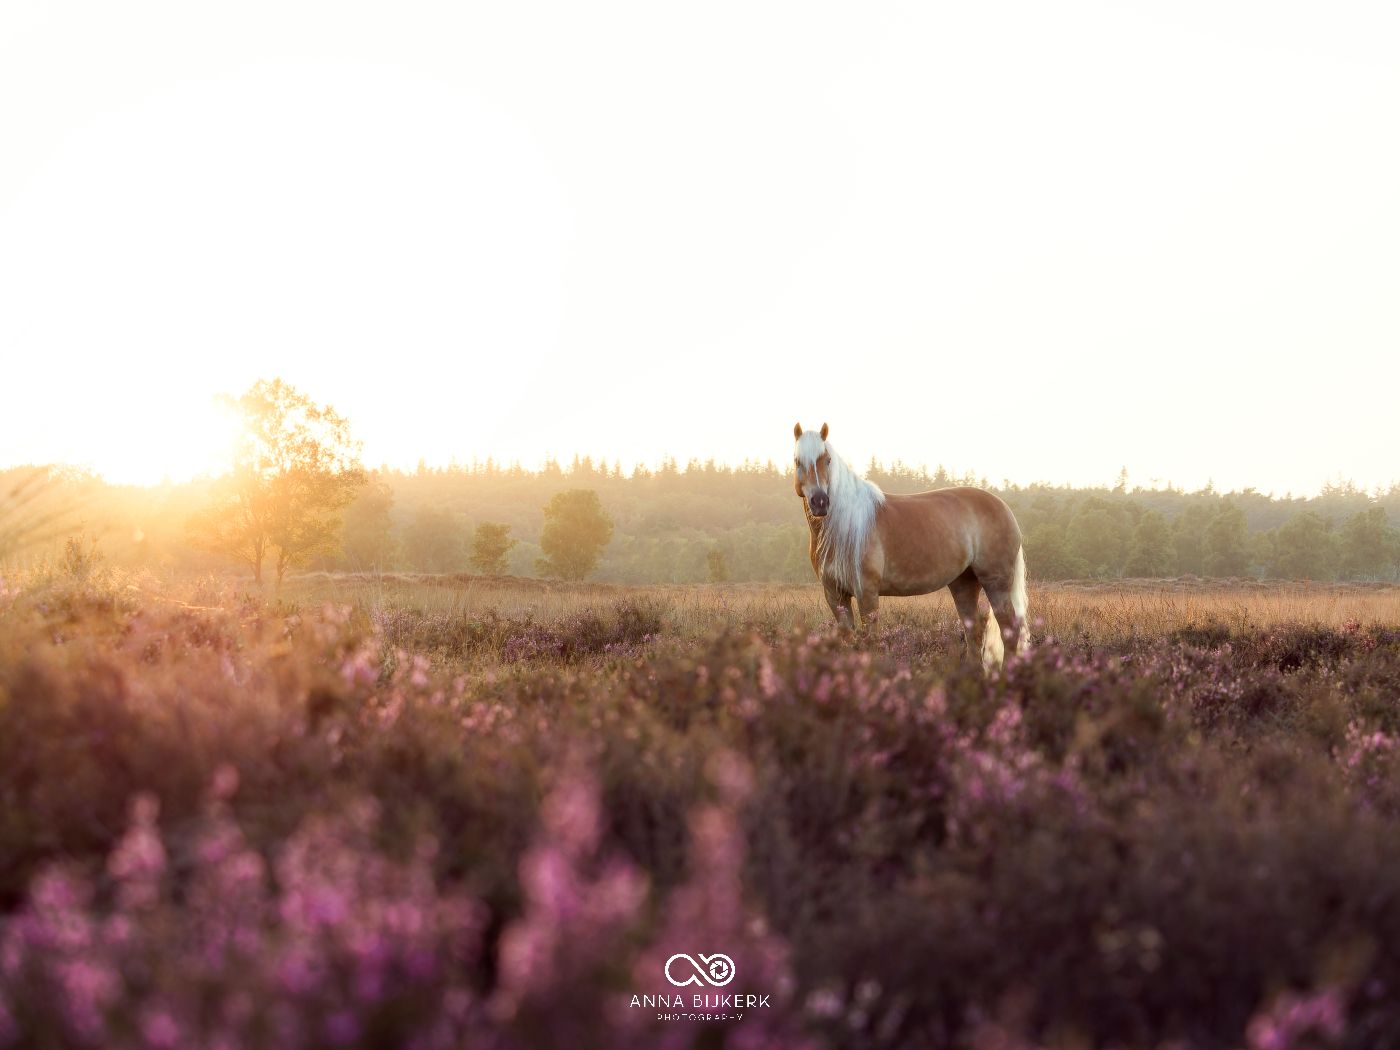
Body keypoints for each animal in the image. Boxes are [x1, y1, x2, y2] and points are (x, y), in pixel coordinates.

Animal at [792, 422, 1029, 669]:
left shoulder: (867, 593)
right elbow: (847, 640)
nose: (820, 502)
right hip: (964, 584)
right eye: (797, 461)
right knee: (974, 631)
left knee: (1009, 630)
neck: (843, 526)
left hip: (995, 582)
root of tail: (1003, 507)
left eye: (827, 460)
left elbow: (870, 642)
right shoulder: (834, 595)